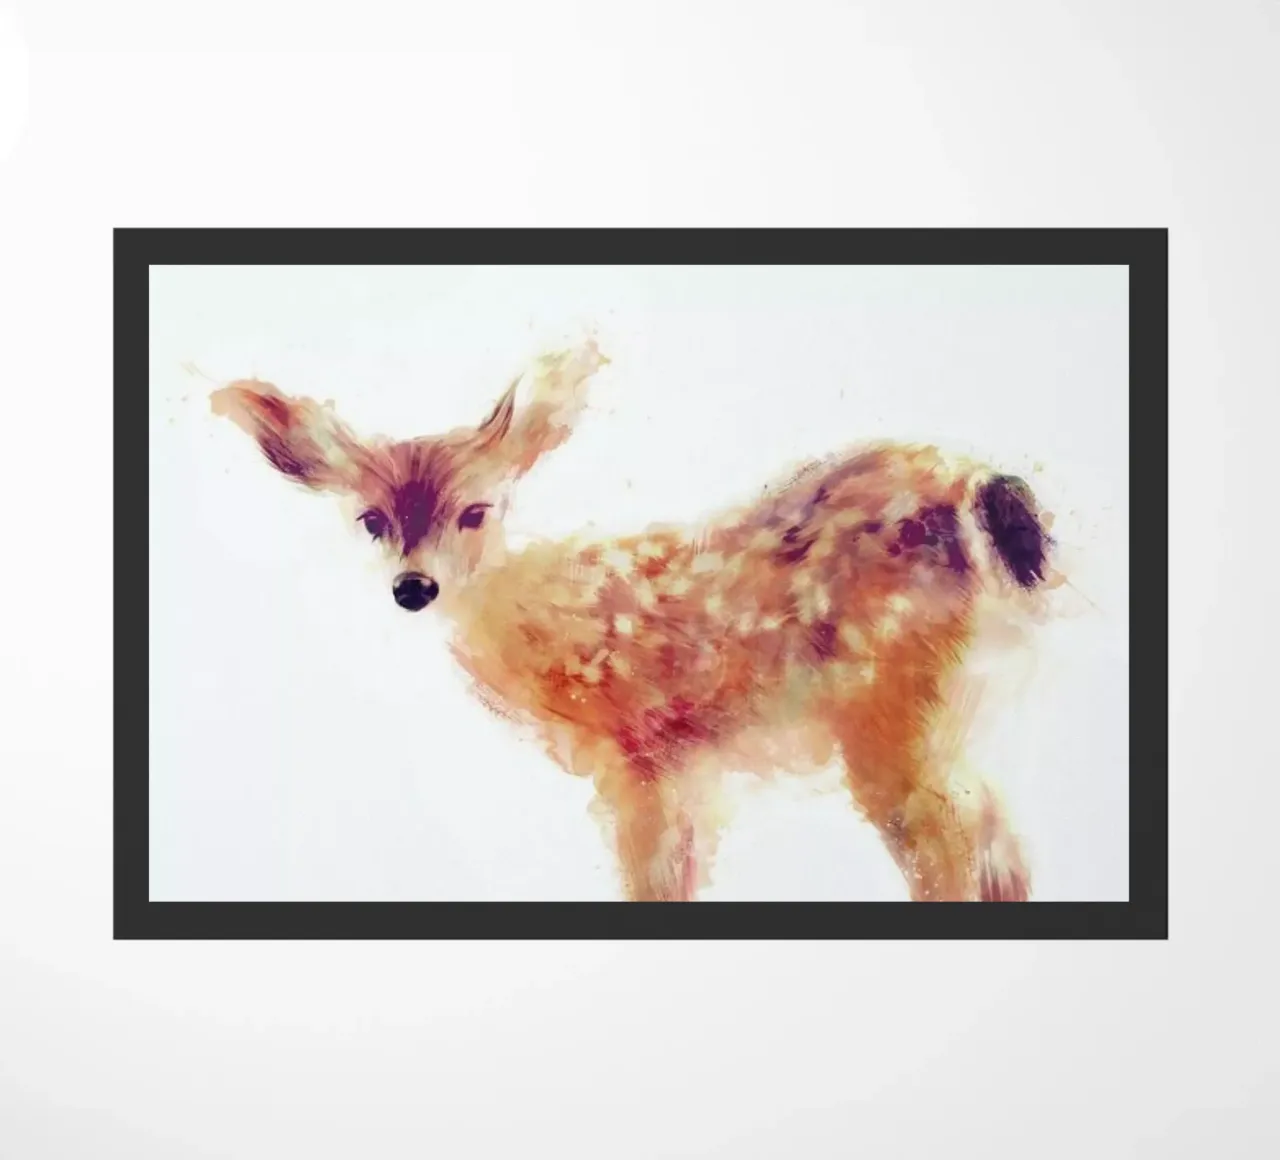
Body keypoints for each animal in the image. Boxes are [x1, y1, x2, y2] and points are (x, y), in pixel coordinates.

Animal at [211, 338, 1054, 902]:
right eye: (371, 519)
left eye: (476, 510)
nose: (414, 587)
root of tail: (990, 495)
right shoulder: (677, 773)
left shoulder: (642, 757)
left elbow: (654, 881)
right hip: (948, 712)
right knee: (998, 838)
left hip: (891, 705)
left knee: (950, 846)